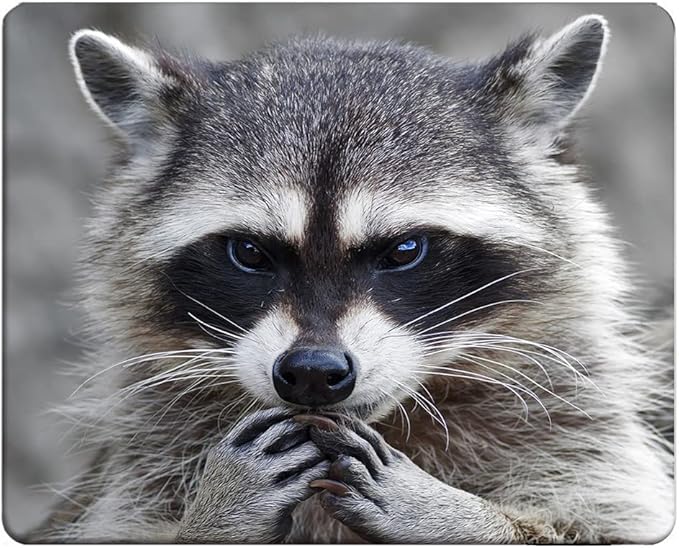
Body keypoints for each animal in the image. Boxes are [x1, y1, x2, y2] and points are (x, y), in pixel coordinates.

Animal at [34, 14, 673, 543]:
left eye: (405, 250)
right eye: (248, 253)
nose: (313, 373)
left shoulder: (578, 435)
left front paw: (456, 517)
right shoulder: (139, 472)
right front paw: (218, 510)